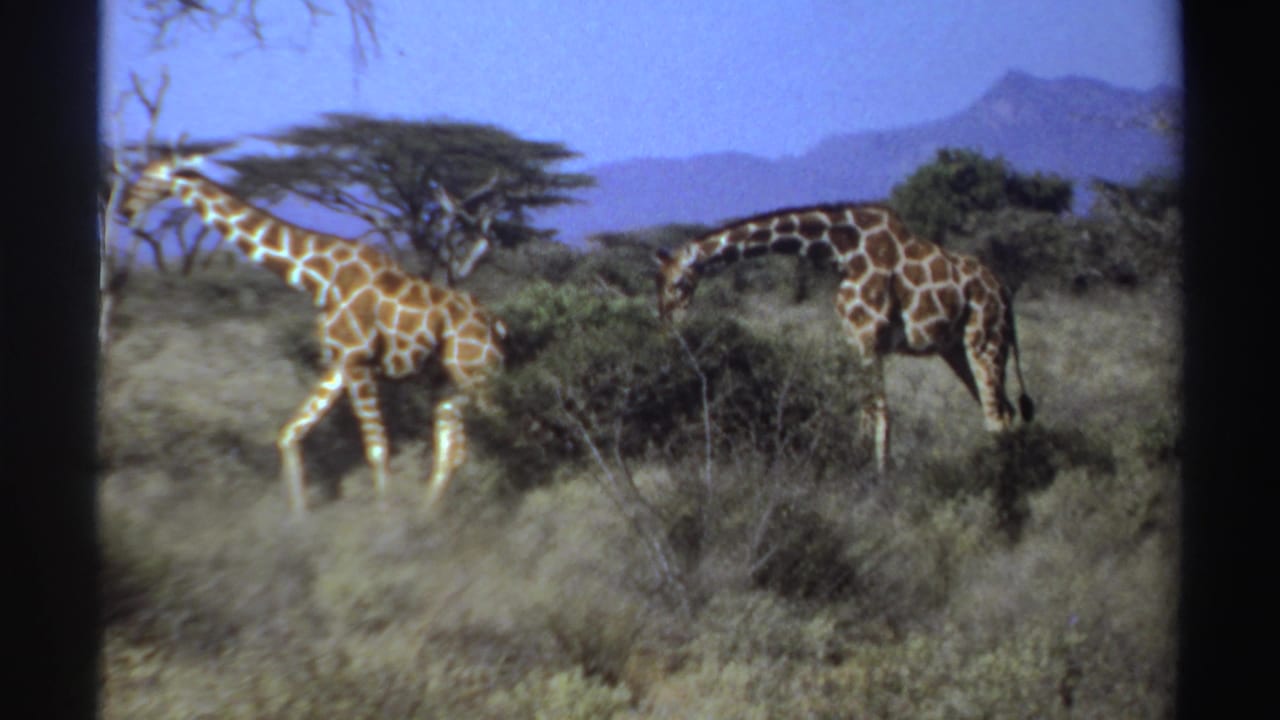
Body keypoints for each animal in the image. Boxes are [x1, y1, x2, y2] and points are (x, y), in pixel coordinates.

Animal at [120, 151, 507, 516]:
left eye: (152, 175)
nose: (126, 208)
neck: (319, 277)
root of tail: (496, 325)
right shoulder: (339, 363)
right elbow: (289, 434)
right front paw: (297, 519)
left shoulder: (359, 362)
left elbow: (377, 449)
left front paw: (384, 521)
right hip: (449, 382)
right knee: (452, 450)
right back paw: (428, 517)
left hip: (475, 373)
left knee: (503, 427)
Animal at [654, 202, 1033, 473]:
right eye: (657, 283)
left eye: (679, 283)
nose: (666, 323)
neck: (840, 250)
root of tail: (1005, 292)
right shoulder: (854, 339)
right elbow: (867, 411)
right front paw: (861, 466)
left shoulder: (869, 336)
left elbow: (879, 413)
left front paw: (878, 479)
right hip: (957, 348)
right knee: (1003, 411)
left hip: (985, 340)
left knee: (997, 416)